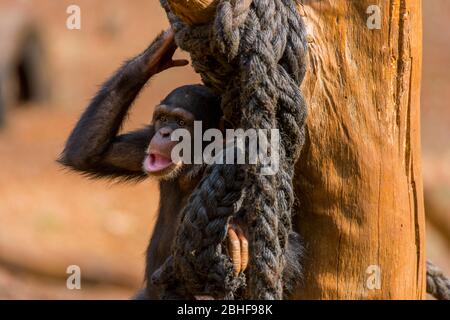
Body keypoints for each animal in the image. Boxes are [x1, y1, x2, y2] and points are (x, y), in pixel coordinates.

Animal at [58, 28, 300, 298]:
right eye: (163, 118)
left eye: (182, 123)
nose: (164, 133)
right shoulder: (144, 141)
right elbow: (89, 153)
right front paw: (155, 54)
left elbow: (288, 249)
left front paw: (237, 234)